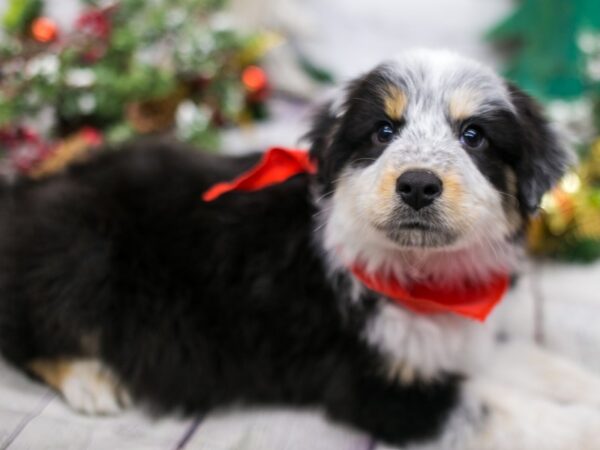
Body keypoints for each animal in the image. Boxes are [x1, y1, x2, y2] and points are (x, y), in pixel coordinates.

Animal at [1, 51, 600, 448]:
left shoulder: (461, 338)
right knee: (27, 332)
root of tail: (26, 192)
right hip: (82, 254)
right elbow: (499, 406)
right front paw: (579, 425)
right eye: (383, 131)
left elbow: (530, 364)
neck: (421, 277)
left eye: (474, 136)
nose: (417, 185)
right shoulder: (372, 385)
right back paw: (92, 380)